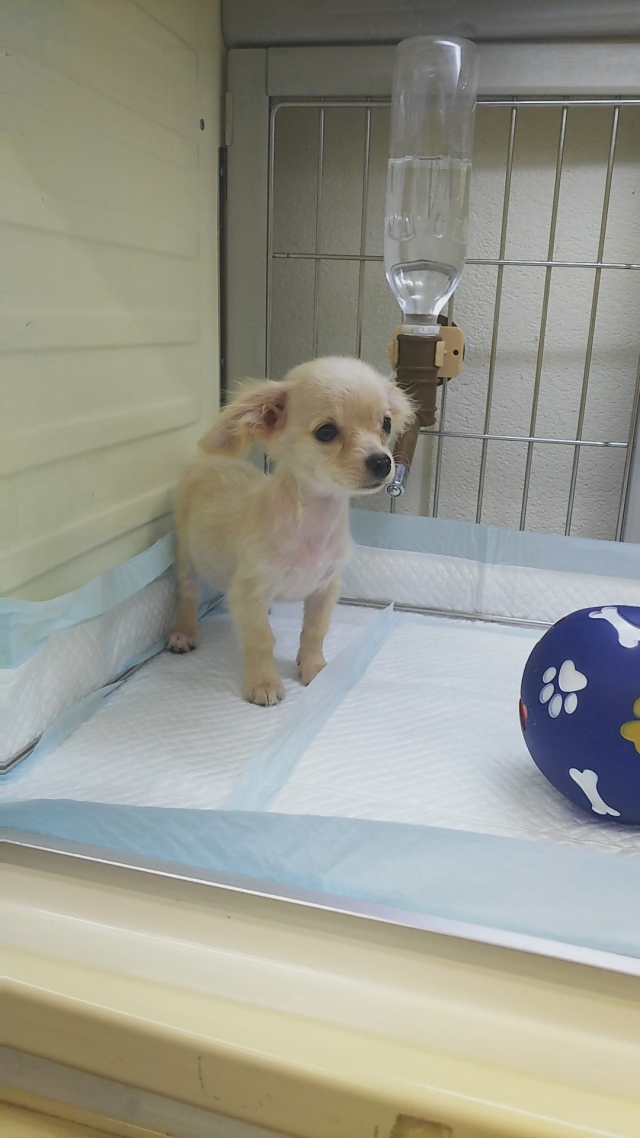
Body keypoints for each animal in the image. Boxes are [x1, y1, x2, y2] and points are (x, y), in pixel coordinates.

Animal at [167, 357, 414, 705]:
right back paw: (184, 632)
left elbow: (314, 632)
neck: (313, 526)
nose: (382, 461)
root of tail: (206, 463)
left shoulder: (325, 589)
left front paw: (314, 670)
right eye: (326, 431)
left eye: (386, 424)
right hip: (187, 557)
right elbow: (261, 639)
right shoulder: (250, 591)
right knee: (188, 593)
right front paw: (263, 683)